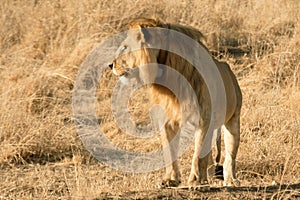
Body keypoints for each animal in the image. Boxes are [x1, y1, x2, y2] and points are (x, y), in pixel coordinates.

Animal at [109, 18, 243, 188]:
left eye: (125, 47)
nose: (110, 65)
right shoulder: (167, 120)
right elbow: (170, 151)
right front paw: (170, 180)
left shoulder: (204, 118)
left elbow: (198, 153)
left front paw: (195, 181)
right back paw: (210, 174)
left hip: (233, 119)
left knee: (230, 154)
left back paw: (230, 179)